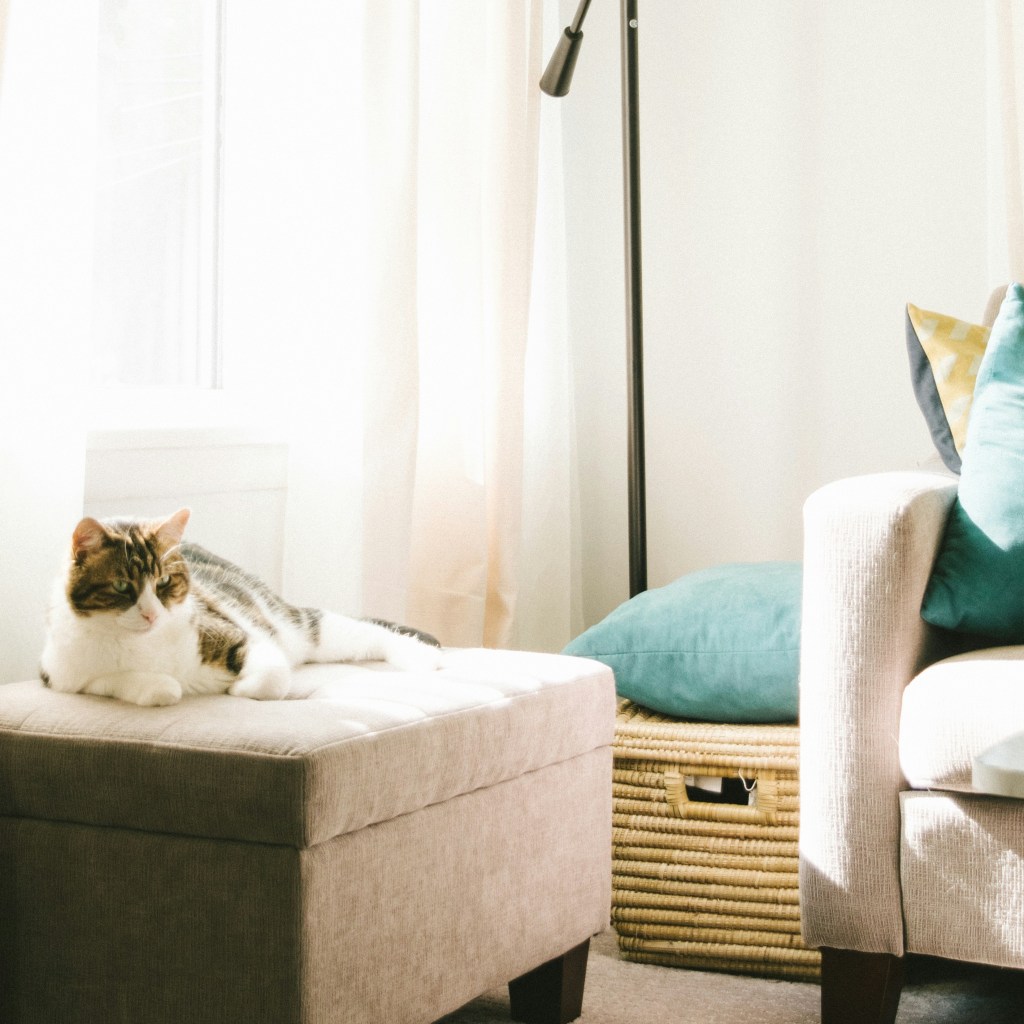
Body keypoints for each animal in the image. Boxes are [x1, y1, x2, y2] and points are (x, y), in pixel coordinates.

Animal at [39, 508, 443, 707]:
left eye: (164, 582)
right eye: (123, 586)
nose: (152, 614)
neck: (140, 645)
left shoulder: (238, 631)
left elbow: (273, 676)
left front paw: (240, 689)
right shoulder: (61, 674)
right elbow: (152, 687)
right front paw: (165, 684)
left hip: (291, 624)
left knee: (363, 630)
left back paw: (422, 657)